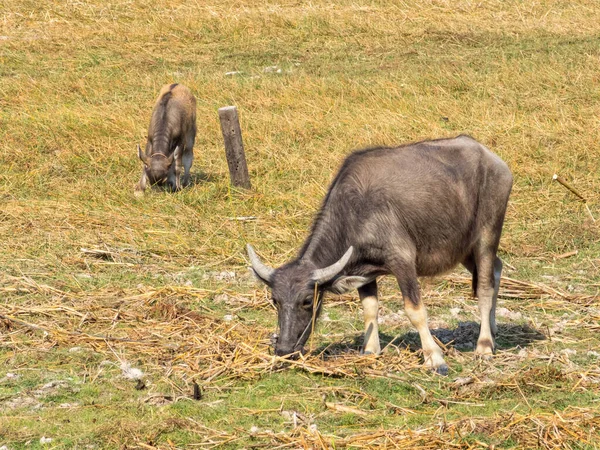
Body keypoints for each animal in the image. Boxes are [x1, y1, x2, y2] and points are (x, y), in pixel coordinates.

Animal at [246, 134, 512, 372]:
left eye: (307, 301)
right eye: (275, 300)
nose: (283, 350)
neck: (357, 211)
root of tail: (495, 161)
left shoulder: (402, 261)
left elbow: (415, 311)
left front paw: (435, 358)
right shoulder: (364, 271)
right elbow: (370, 308)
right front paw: (370, 350)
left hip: (487, 236)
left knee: (485, 286)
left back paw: (484, 345)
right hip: (464, 249)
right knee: (497, 267)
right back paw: (493, 328)